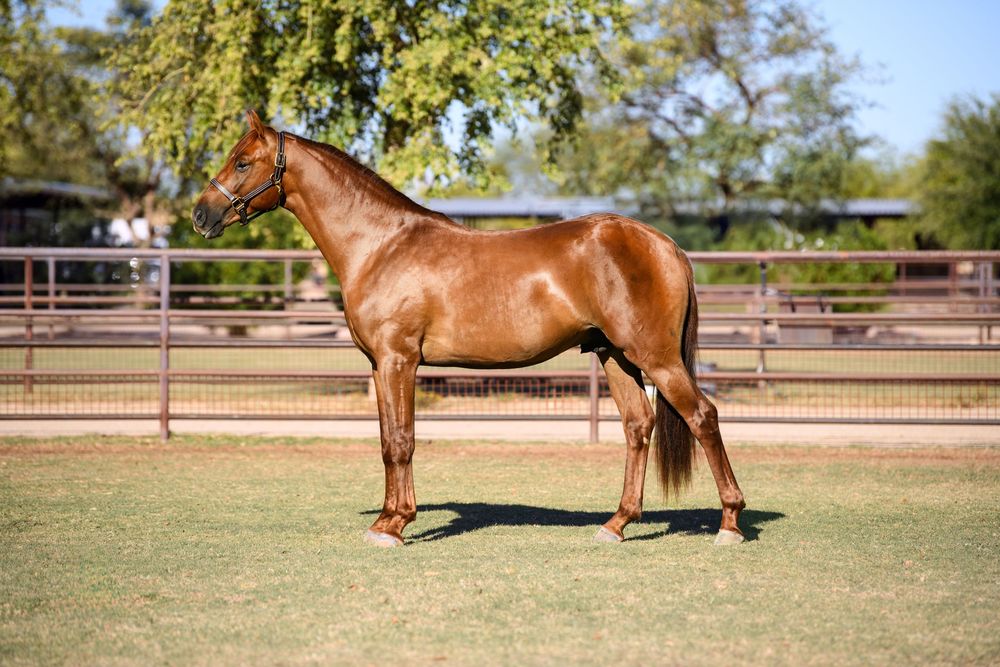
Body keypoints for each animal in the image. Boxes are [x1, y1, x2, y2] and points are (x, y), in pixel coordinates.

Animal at [192, 110, 746, 547]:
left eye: (242, 162)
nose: (201, 215)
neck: (381, 245)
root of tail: (663, 243)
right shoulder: (379, 366)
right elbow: (387, 440)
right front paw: (386, 519)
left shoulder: (399, 360)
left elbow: (402, 441)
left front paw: (396, 526)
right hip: (617, 357)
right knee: (637, 426)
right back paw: (616, 524)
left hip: (656, 357)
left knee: (703, 417)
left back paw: (729, 524)